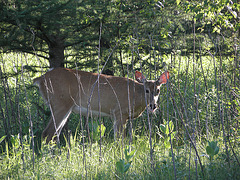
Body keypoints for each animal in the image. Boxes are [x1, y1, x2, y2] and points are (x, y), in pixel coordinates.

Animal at [33, 68, 169, 143]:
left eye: (158, 90)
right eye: (146, 90)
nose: (153, 105)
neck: (135, 94)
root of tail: (40, 79)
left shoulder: (115, 115)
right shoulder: (120, 112)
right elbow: (120, 139)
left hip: (64, 106)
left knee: (54, 134)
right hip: (60, 103)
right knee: (47, 133)